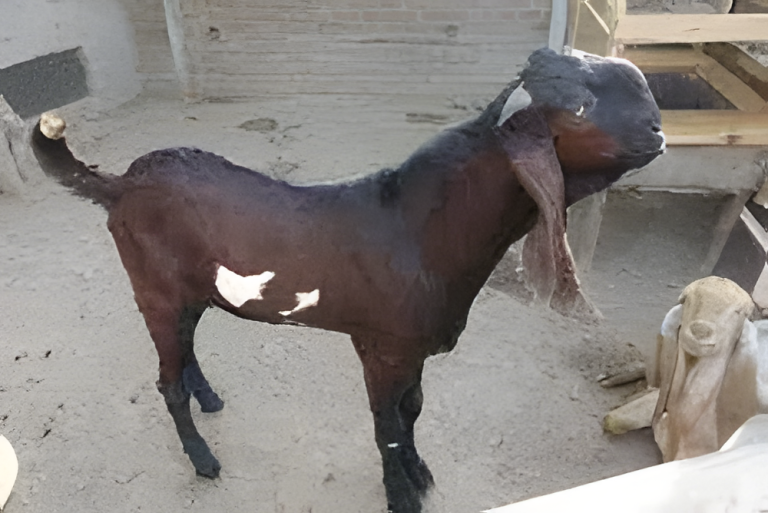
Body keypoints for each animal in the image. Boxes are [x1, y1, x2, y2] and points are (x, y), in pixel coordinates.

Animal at [31, 48, 664, 513]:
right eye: (579, 104)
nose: (657, 129)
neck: (416, 228)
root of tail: (121, 186)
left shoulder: (413, 349)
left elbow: (414, 409)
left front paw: (421, 474)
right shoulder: (380, 346)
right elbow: (389, 423)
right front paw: (402, 495)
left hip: (192, 294)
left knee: (186, 353)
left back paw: (209, 397)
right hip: (155, 291)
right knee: (166, 382)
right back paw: (203, 460)